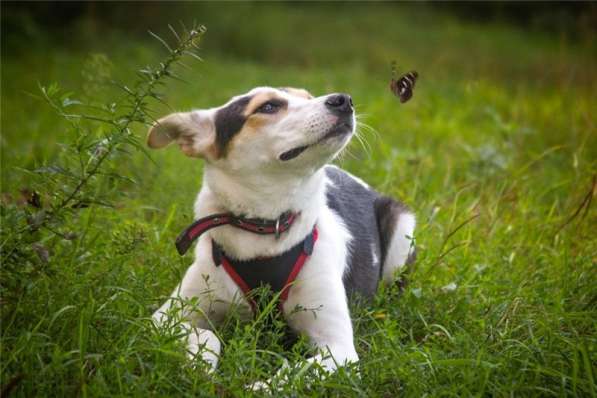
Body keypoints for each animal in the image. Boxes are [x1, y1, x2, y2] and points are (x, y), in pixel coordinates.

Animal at [149, 86, 414, 386]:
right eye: (268, 107)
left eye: (308, 97)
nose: (344, 100)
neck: (265, 225)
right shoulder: (164, 316)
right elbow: (206, 335)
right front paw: (201, 364)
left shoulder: (339, 350)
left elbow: (290, 374)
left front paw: (255, 387)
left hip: (402, 227)